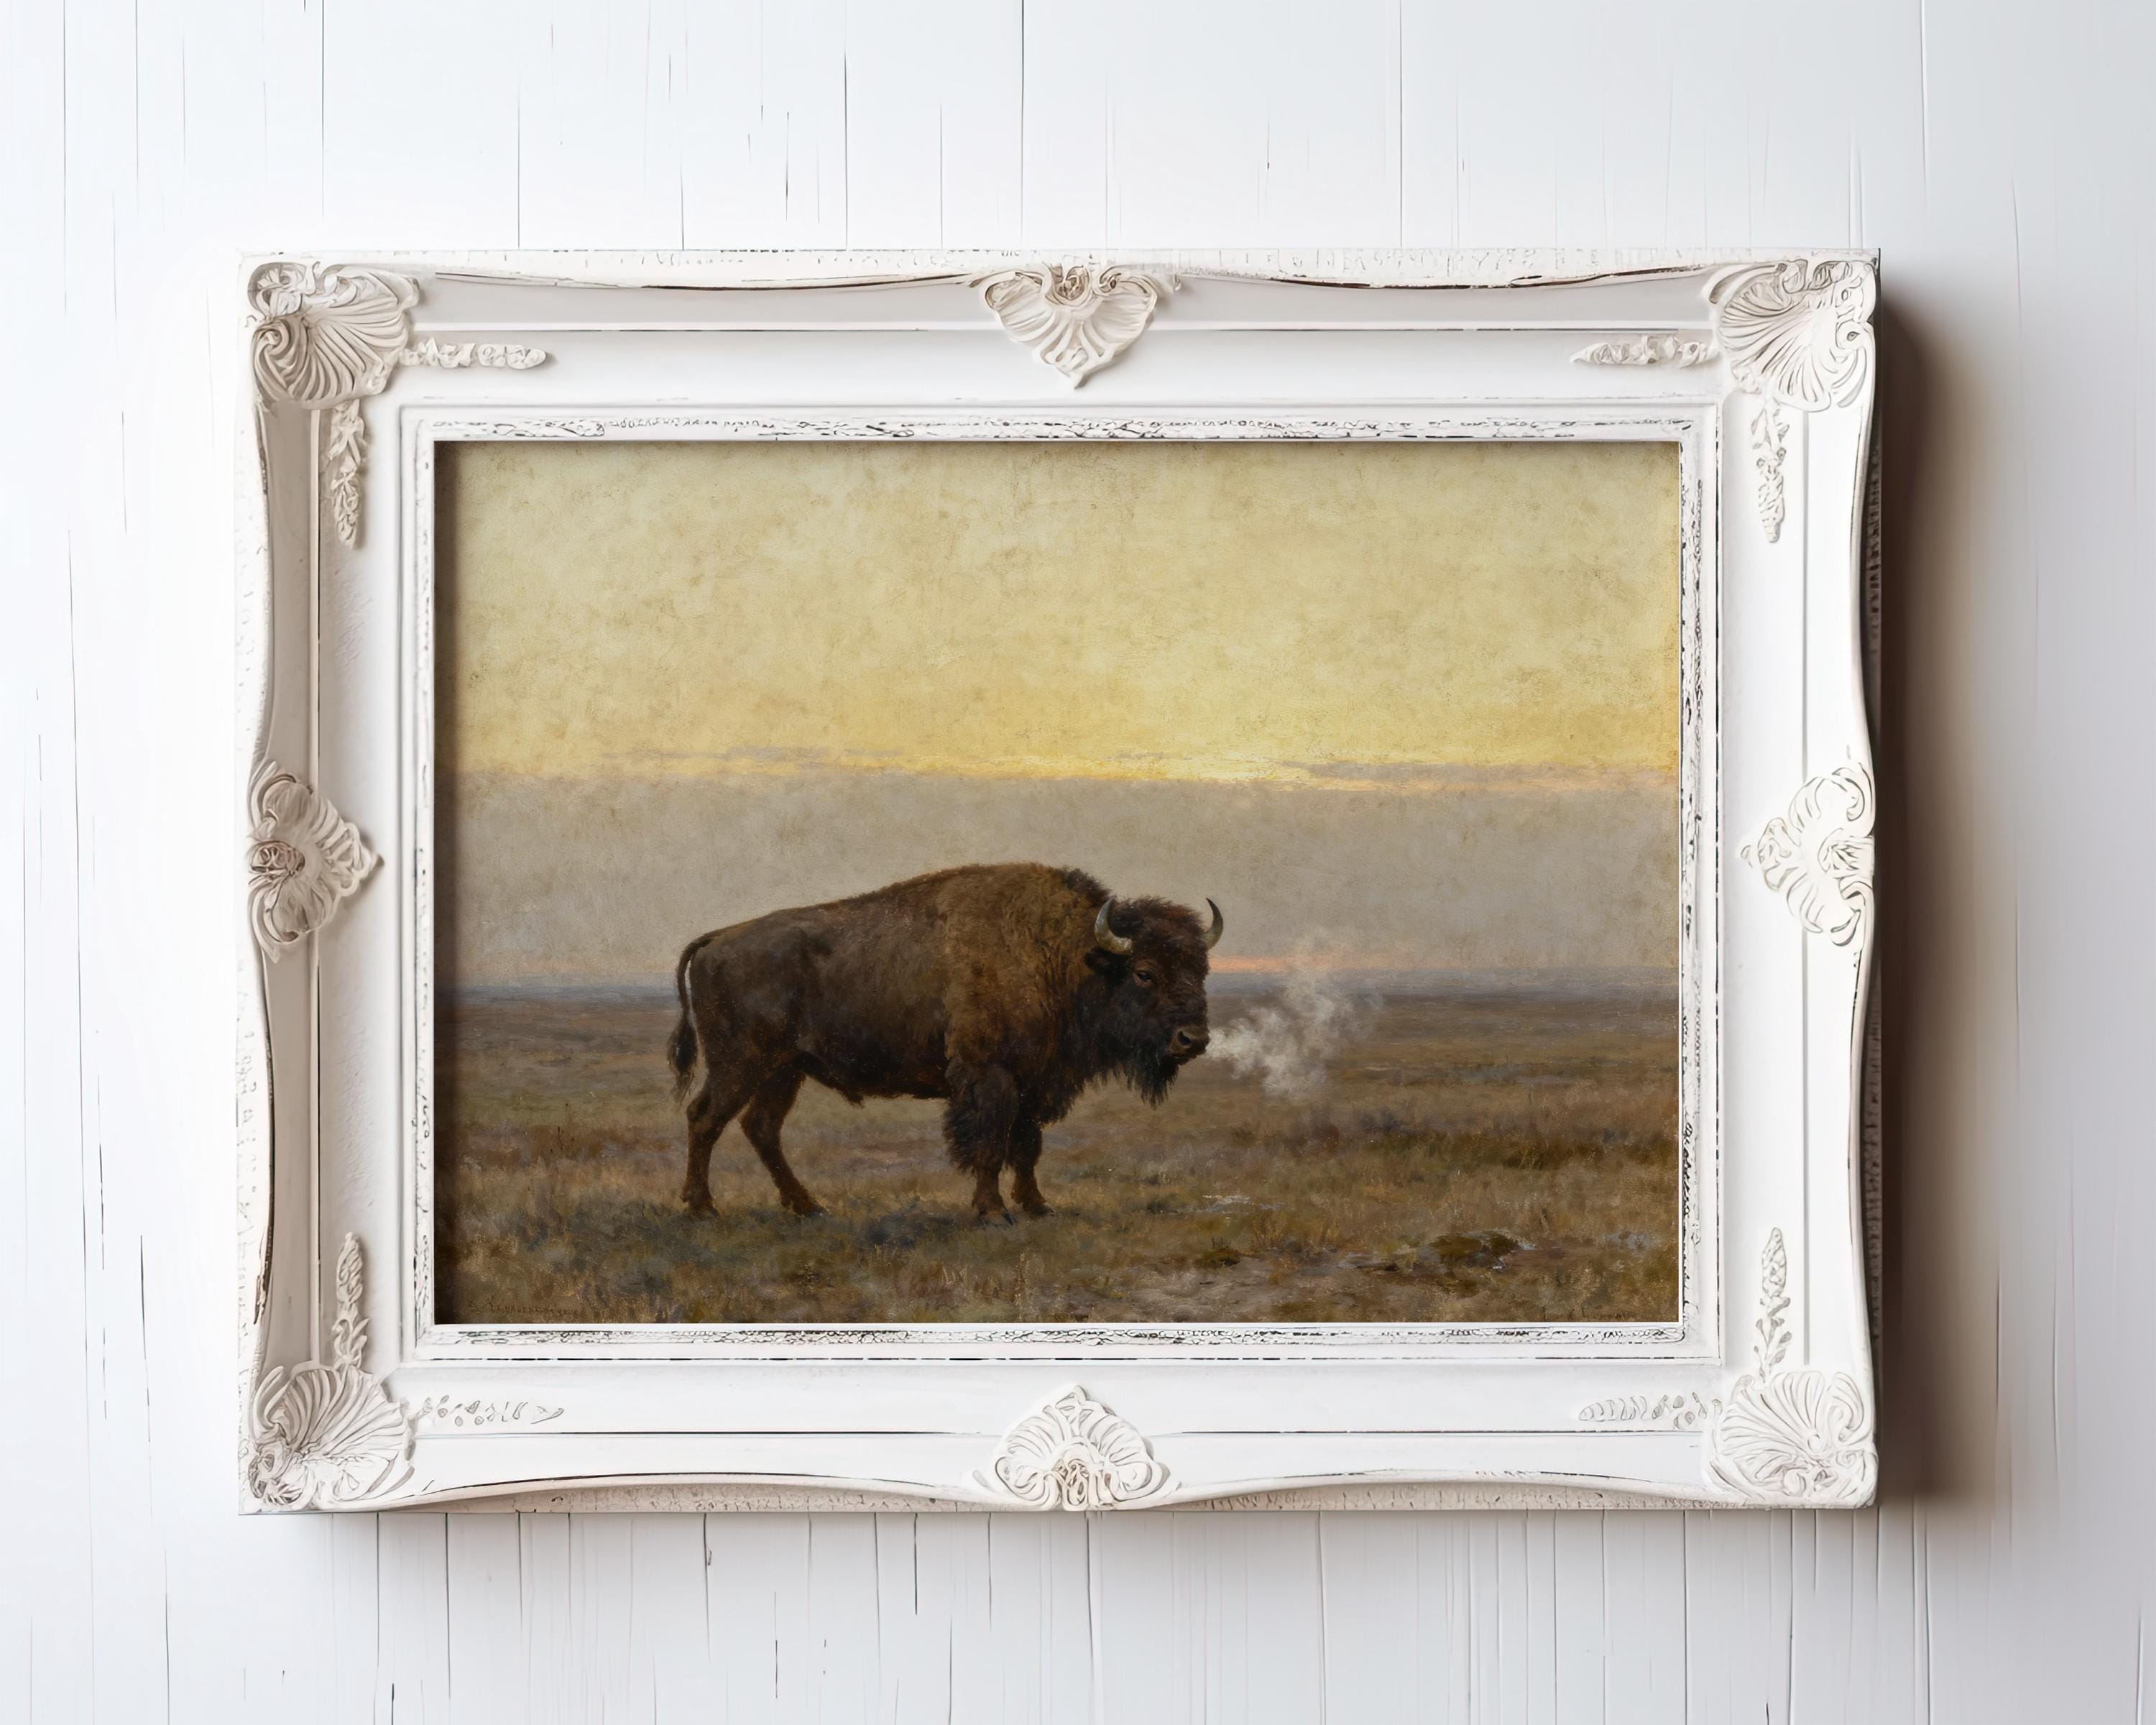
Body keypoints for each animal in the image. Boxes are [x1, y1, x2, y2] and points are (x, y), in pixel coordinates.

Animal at [666, 863, 1222, 1221]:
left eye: (1201, 969)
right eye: (1145, 972)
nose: (1193, 1039)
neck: (1064, 956)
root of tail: (716, 940)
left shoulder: (1035, 1083)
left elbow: (1027, 1146)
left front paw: (1038, 1206)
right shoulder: (990, 1077)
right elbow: (990, 1143)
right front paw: (993, 1211)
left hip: (785, 1070)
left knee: (761, 1128)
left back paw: (808, 1207)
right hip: (741, 1063)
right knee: (705, 1118)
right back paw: (703, 1208)